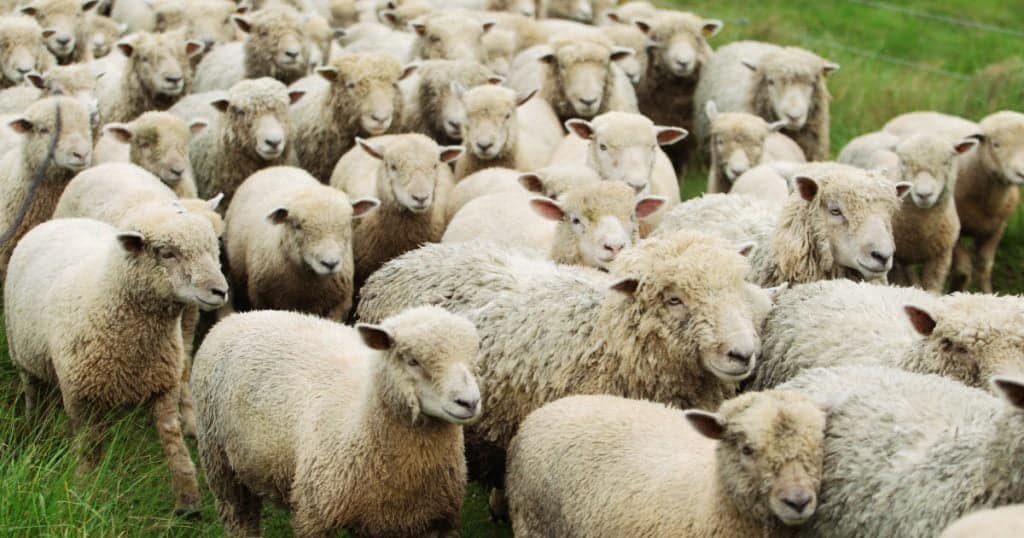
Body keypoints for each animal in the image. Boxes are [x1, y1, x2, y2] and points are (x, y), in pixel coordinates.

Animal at [5, 209, 226, 515]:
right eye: (166, 253)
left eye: (213, 250)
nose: (220, 291)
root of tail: (59, 220)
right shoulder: (78, 394)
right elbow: (88, 448)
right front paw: (84, 493)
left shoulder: (164, 386)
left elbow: (173, 441)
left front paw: (188, 500)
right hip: (22, 353)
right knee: (32, 389)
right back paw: (34, 425)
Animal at [193, 306, 482, 537]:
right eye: (412, 361)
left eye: (472, 358)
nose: (469, 402)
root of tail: (240, 316)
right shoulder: (314, 517)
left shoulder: (433, 521)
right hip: (221, 465)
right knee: (240, 517)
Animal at [224, 166, 379, 319]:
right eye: (297, 225)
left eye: (347, 223)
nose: (330, 263)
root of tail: (275, 167)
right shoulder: (262, 301)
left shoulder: (339, 307)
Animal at [839, 132, 978, 292]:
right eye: (904, 162)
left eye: (946, 162)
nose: (924, 194)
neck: (922, 232)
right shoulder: (897, 262)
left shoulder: (940, 257)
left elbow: (932, 287)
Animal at [883, 111, 1024, 293]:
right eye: (996, 145)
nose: (1021, 173)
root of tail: (911, 113)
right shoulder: (954, 236)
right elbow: (964, 269)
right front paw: (956, 290)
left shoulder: (997, 228)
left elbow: (984, 266)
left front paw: (987, 293)